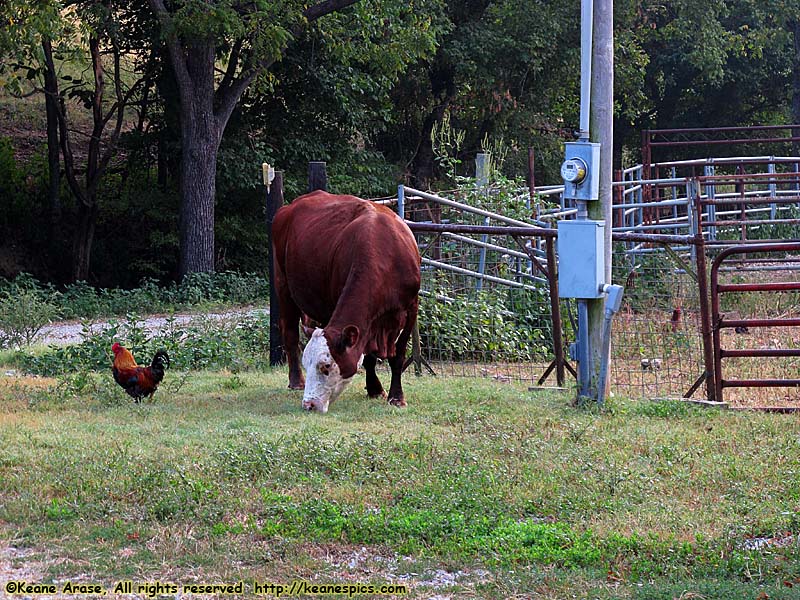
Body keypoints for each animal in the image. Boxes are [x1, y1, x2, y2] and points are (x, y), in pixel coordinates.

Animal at [272, 192, 422, 412]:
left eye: (326, 366)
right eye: (307, 363)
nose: (309, 404)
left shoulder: (411, 308)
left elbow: (399, 355)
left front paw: (396, 396)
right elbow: (368, 356)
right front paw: (375, 388)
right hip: (282, 285)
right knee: (290, 334)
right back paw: (296, 381)